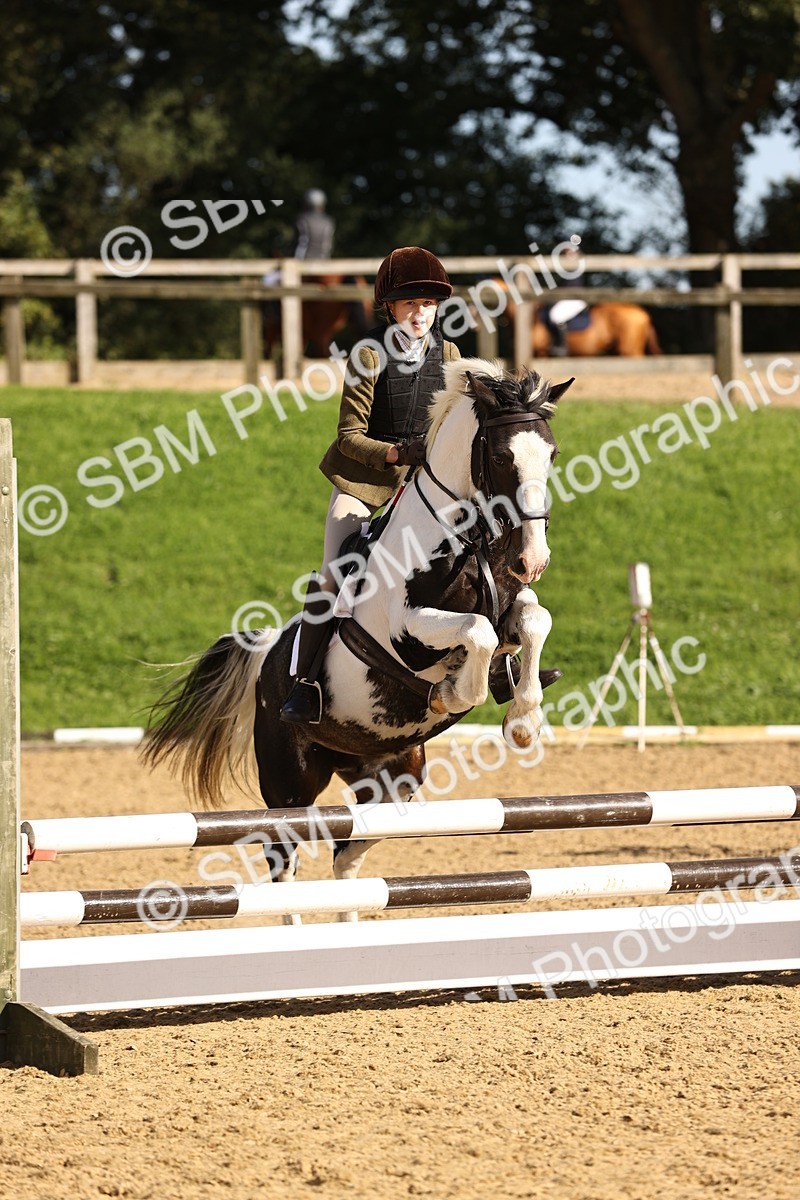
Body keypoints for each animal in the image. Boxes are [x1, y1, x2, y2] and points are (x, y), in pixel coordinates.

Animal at [140, 358, 572, 917]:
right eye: (501, 457)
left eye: (552, 454)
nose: (533, 560)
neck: (463, 538)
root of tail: (266, 658)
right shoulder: (407, 632)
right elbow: (474, 635)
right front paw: (454, 693)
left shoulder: (510, 606)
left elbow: (534, 621)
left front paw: (522, 722)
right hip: (289, 782)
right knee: (284, 864)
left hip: (391, 781)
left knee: (346, 857)